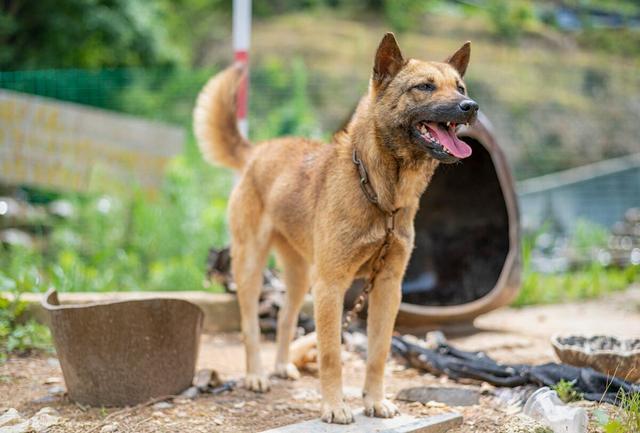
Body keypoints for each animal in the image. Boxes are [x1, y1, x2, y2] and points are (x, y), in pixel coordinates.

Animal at [192, 33, 478, 422]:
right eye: (424, 87)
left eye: (460, 86)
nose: (471, 106)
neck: (379, 195)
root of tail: (258, 151)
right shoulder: (331, 286)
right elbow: (331, 355)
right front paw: (334, 407)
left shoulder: (387, 288)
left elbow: (378, 354)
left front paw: (374, 401)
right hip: (252, 267)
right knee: (250, 326)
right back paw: (256, 376)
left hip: (300, 278)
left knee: (285, 321)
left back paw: (281, 366)